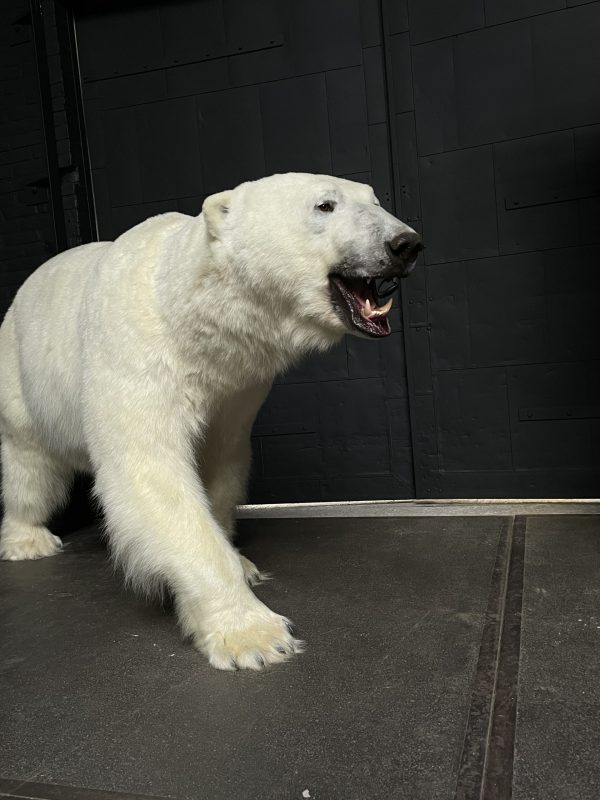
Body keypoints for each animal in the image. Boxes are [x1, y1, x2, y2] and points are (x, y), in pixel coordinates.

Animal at [0, 173, 422, 668]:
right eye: (325, 205)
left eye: (375, 200)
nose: (405, 243)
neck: (188, 309)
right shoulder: (136, 353)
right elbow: (150, 472)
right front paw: (253, 635)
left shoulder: (236, 388)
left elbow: (221, 462)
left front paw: (242, 564)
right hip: (20, 375)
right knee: (30, 468)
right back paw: (28, 539)